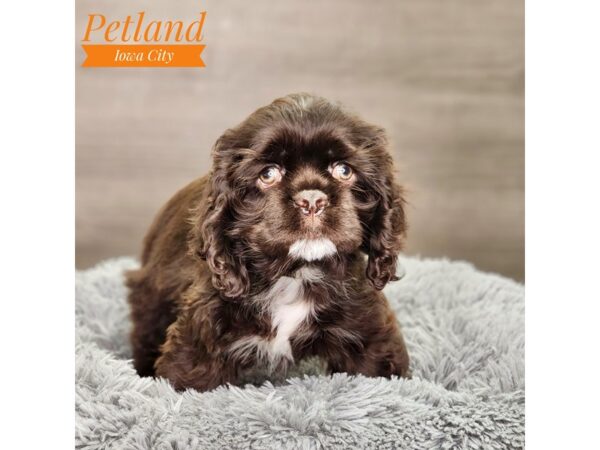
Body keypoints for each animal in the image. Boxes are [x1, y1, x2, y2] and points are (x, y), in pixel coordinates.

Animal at [125, 93, 410, 392]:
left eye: (344, 170)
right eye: (268, 174)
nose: (311, 200)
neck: (295, 274)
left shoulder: (370, 335)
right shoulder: (199, 342)